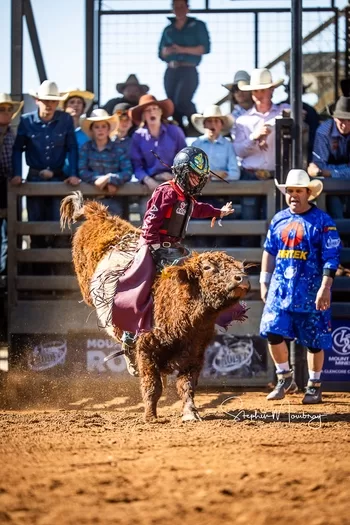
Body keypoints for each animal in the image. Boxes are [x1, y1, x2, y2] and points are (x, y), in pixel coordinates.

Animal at [61, 192, 250, 422]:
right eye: (207, 267)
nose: (242, 278)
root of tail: (100, 216)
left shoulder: (195, 353)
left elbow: (186, 386)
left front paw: (190, 413)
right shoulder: (147, 351)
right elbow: (152, 386)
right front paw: (150, 416)